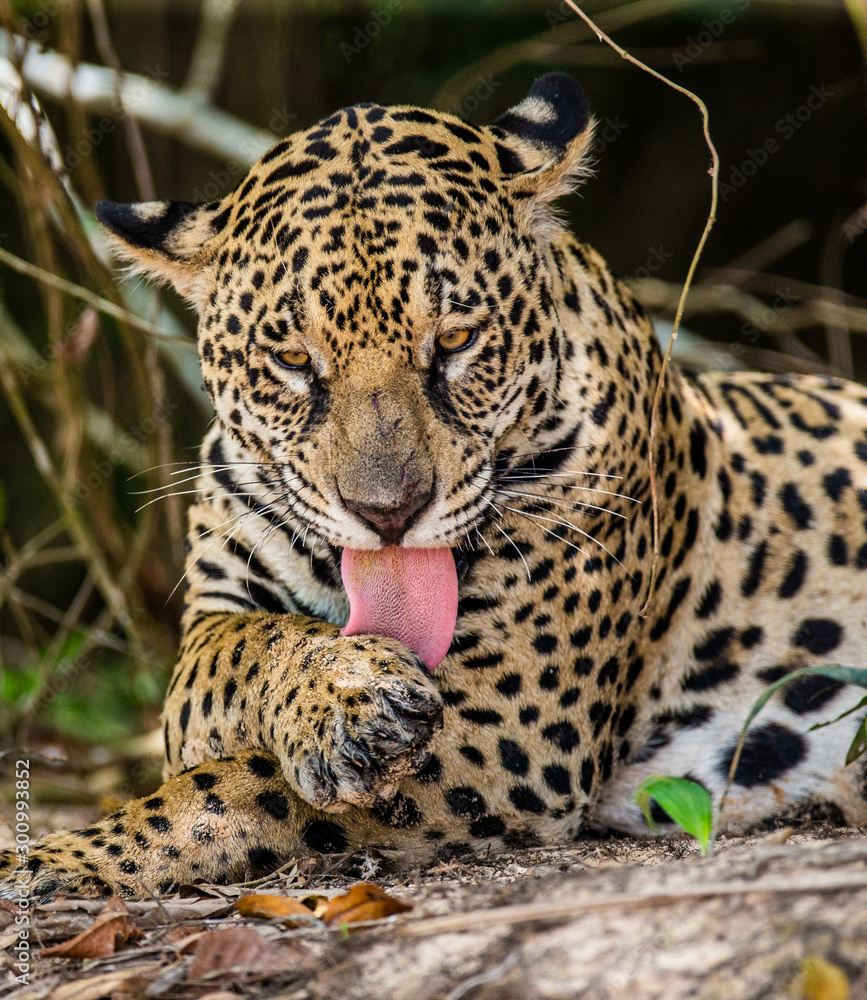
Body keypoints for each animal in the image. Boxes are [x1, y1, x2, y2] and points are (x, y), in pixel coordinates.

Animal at [5, 73, 867, 899]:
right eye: (292, 359)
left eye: (454, 340)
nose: (387, 513)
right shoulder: (217, 608)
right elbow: (224, 661)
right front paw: (344, 694)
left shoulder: (506, 729)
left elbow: (228, 792)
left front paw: (53, 858)